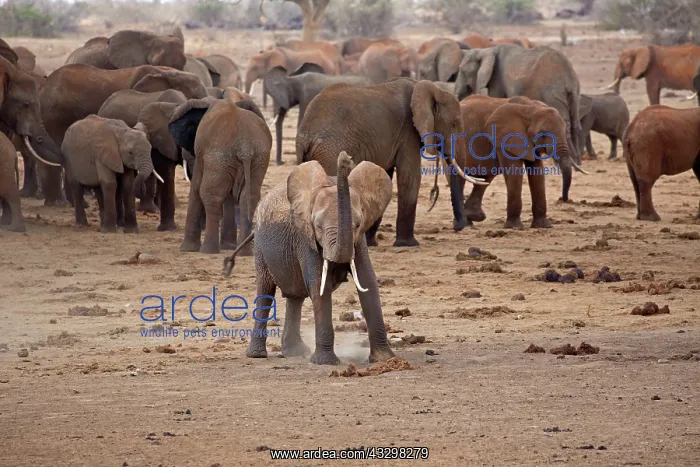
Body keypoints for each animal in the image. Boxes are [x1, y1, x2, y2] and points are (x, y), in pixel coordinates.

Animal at [168, 97, 272, 254]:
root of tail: (245, 146)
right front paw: (228, 246)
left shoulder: (202, 153)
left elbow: (196, 188)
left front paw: (187, 249)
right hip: (257, 158)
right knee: (248, 198)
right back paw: (244, 252)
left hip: (220, 155)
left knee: (211, 196)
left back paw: (208, 250)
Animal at [222, 152, 396, 365]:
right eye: (318, 227)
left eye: (357, 225)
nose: (345, 158)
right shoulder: (306, 239)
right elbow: (319, 286)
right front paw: (325, 363)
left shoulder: (359, 241)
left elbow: (368, 283)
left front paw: (385, 359)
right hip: (261, 248)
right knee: (266, 291)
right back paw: (257, 355)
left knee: (295, 295)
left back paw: (294, 352)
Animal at [296, 78, 488, 247]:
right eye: (454, 123)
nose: (459, 227)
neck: (430, 88)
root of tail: (305, 134)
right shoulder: (408, 133)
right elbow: (409, 178)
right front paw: (409, 245)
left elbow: (383, 176)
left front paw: (371, 243)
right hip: (331, 151)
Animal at [454, 43, 589, 202]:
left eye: (462, 71)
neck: (486, 50)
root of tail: (568, 77)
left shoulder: (496, 81)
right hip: (574, 93)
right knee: (575, 124)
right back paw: (577, 162)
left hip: (552, 91)